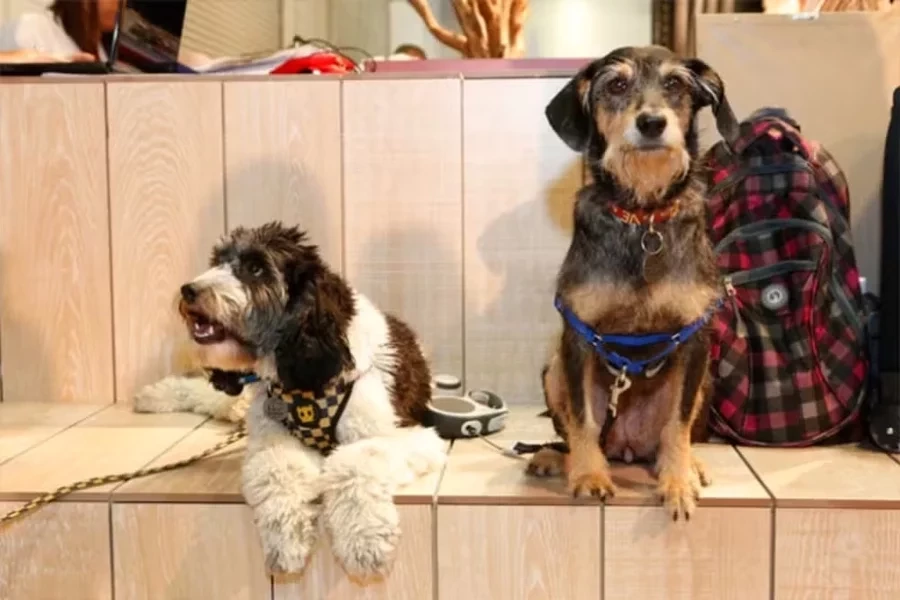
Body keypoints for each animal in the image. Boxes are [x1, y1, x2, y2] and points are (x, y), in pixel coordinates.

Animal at [137, 221, 445, 577]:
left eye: (256, 268)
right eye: (218, 261)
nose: (189, 290)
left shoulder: (403, 435)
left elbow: (355, 463)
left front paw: (363, 541)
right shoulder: (272, 437)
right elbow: (279, 469)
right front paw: (287, 539)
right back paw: (153, 395)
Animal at [527, 46, 739, 520]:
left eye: (675, 83)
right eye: (617, 85)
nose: (652, 123)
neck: (643, 219)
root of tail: (626, 445)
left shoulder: (694, 339)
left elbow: (677, 424)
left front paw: (677, 482)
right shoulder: (577, 337)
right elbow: (584, 420)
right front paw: (589, 476)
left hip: (707, 380)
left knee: (669, 436)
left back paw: (688, 465)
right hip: (553, 371)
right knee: (573, 434)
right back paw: (557, 458)